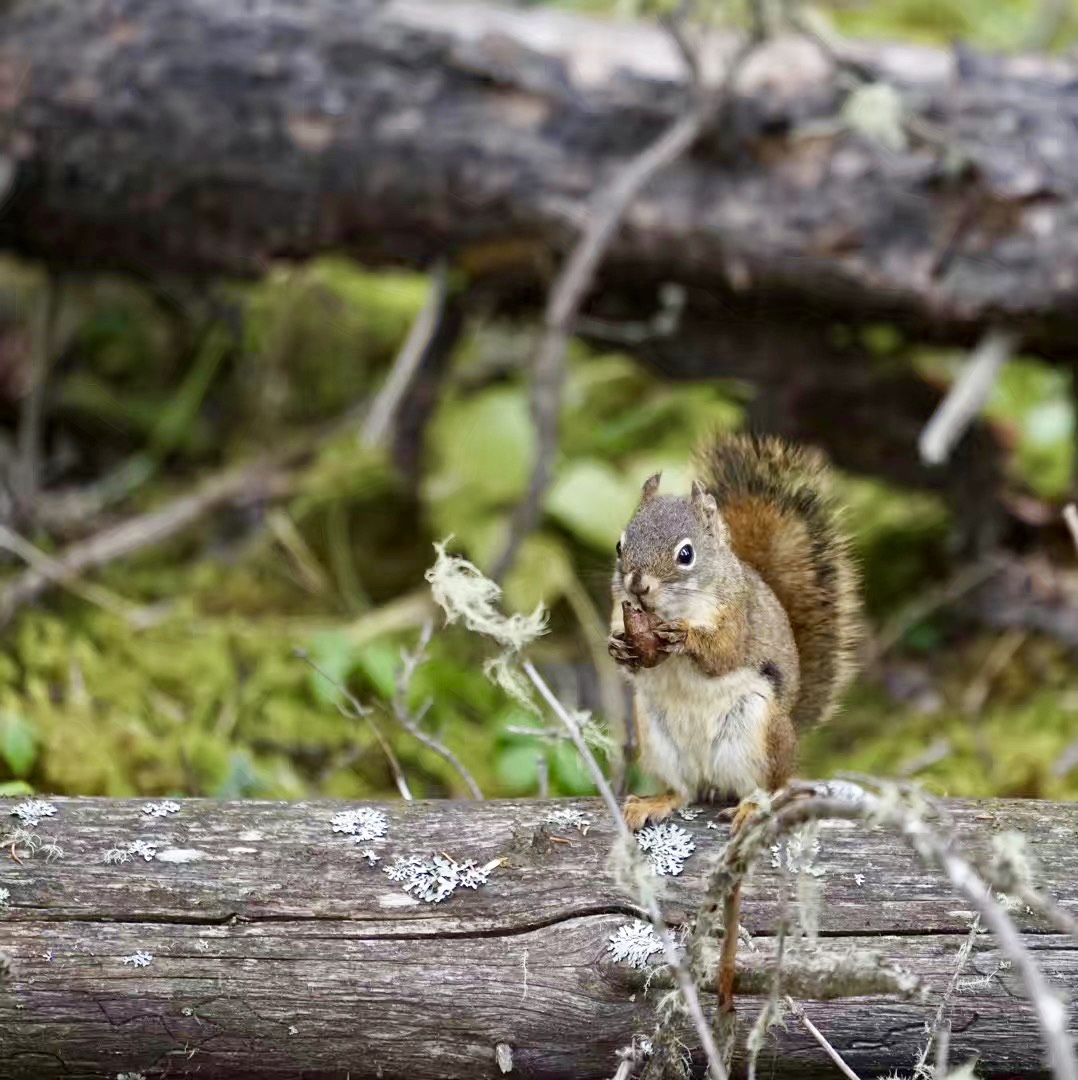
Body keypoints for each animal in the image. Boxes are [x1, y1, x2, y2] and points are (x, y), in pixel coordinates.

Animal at [613, 434, 864, 829]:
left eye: (686, 554)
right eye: (619, 546)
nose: (637, 585)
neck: (670, 609)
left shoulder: (736, 616)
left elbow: (723, 655)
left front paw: (684, 636)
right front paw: (619, 647)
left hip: (759, 733)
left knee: (771, 787)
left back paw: (753, 807)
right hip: (657, 739)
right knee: (683, 791)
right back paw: (656, 802)